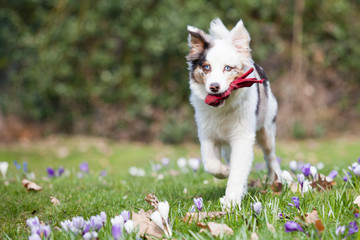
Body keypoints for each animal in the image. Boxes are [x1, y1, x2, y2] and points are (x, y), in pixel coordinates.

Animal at [187, 18, 282, 209]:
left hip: (266, 128)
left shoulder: (242, 136)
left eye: (228, 68)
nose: (214, 87)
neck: (222, 108)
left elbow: (239, 169)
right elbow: (211, 164)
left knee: (270, 156)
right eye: (206, 67)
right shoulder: (208, 134)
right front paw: (225, 171)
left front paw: (231, 201)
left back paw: (277, 179)